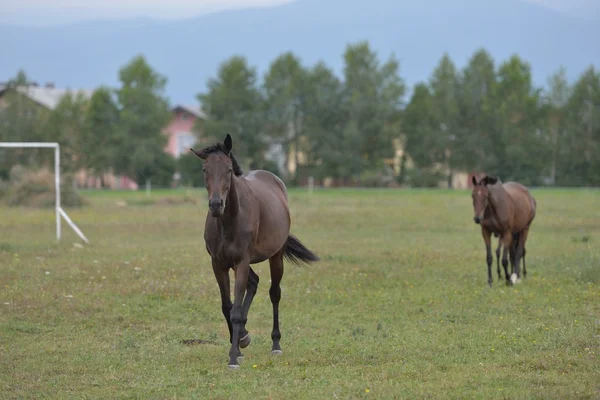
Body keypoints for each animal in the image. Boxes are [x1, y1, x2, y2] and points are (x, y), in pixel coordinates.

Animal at [191, 134, 318, 368]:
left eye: (228, 169)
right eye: (205, 169)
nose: (216, 204)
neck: (229, 221)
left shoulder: (241, 262)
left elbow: (236, 310)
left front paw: (234, 357)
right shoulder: (219, 264)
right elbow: (227, 306)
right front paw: (239, 344)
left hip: (275, 257)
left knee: (274, 293)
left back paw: (276, 345)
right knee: (254, 283)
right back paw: (243, 335)